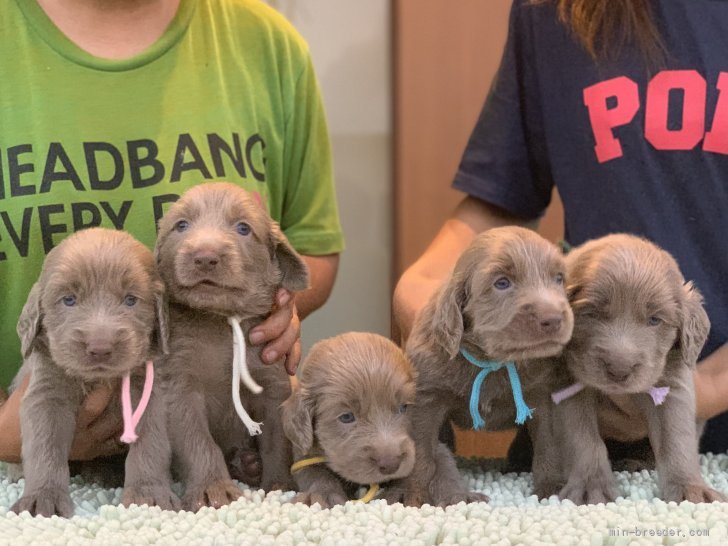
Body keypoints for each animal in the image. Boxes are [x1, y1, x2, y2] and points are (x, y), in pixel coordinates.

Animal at [9, 227, 175, 516]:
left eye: (130, 300)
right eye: (69, 300)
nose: (100, 348)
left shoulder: (149, 391)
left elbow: (150, 443)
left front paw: (148, 493)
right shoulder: (46, 391)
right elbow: (45, 445)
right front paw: (43, 497)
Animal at [152, 182, 308, 510]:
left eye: (243, 228)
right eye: (181, 226)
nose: (204, 256)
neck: (220, 320)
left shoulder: (273, 382)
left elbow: (276, 440)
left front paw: (279, 484)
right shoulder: (181, 386)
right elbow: (198, 441)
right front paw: (213, 489)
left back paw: (250, 465)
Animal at [278, 330, 416, 508]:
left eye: (403, 407)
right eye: (346, 417)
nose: (391, 464)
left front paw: (403, 490)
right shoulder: (303, 455)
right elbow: (315, 472)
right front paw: (321, 494)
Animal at [386, 225, 576, 506]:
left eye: (559, 278)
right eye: (502, 283)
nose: (552, 318)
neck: (493, 360)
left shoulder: (544, 395)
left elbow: (548, 443)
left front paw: (551, 486)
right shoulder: (426, 399)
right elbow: (421, 452)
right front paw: (415, 495)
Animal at [532, 233, 724, 502]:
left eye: (654, 320)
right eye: (592, 313)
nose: (619, 369)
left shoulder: (673, 384)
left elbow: (676, 438)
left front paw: (690, 488)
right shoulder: (568, 389)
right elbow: (583, 439)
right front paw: (591, 487)